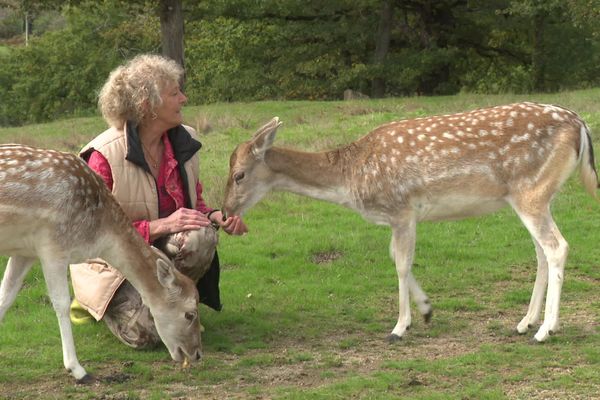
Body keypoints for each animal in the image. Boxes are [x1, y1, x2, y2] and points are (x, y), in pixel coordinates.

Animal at [0, 145, 203, 382]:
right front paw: (78, 370)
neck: (98, 233)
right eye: (190, 313)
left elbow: (5, 297)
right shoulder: (54, 247)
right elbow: (61, 304)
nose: (197, 354)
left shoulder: (25, 251)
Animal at [223, 103, 596, 344]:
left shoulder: (402, 209)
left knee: (557, 247)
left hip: (530, 192)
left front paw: (399, 327)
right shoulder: (400, 217)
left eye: (239, 174)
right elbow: (395, 257)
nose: (224, 212)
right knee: (541, 252)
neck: (350, 179)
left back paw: (545, 331)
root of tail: (580, 124)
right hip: (535, 195)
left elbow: (401, 263)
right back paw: (525, 323)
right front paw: (427, 311)